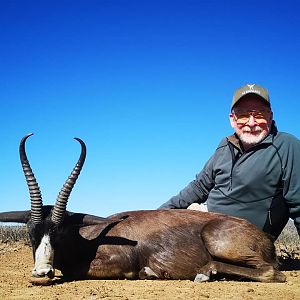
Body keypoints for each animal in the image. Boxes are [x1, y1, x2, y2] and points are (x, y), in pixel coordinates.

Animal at [0, 135, 286, 284]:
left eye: (60, 233)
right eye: (31, 233)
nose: (41, 274)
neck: (91, 238)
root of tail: (264, 238)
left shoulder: (119, 264)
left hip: (218, 243)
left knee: (271, 272)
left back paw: (202, 273)